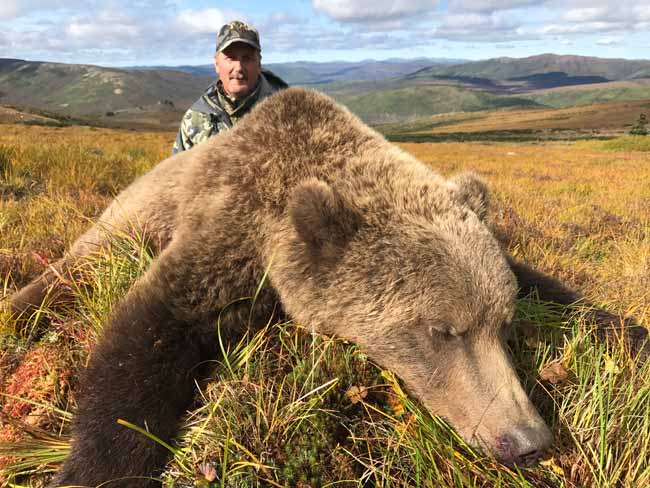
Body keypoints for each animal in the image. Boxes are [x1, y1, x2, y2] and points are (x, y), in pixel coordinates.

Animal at [3, 88, 644, 488]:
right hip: (124, 219)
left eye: (502, 323)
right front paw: (91, 471)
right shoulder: (231, 229)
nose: (527, 437)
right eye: (442, 330)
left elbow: (551, 287)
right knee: (73, 269)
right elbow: (148, 334)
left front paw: (629, 331)